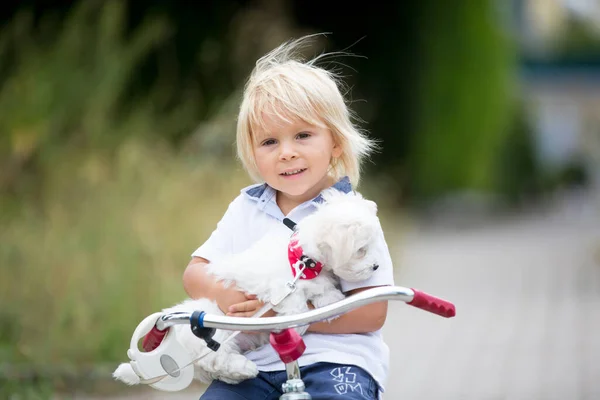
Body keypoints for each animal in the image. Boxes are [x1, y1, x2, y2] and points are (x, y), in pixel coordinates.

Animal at [115, 189, 382, 386]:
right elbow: (294, 303)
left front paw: (331, 300)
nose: (376, 266)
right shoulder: (279, 287)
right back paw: (244, 368)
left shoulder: (315, 278)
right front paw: (301, 321)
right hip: (214, 331)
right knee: (216, 360)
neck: (304, 261)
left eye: (372, 245)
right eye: (361, 250)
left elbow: (322, 289)